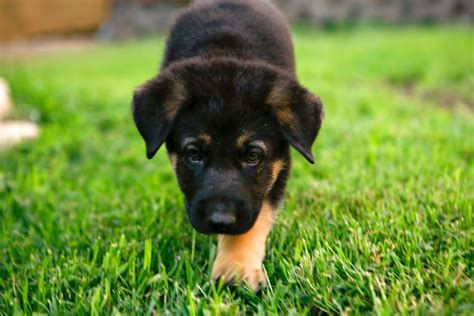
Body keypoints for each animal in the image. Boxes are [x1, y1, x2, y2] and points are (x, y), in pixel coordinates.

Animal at [134, 0, 326, 290]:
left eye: (253, 156)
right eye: (194, 154)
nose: (220, 222)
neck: (226, 51)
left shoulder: (278, 166)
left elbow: (254, 219)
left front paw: (236, 266)